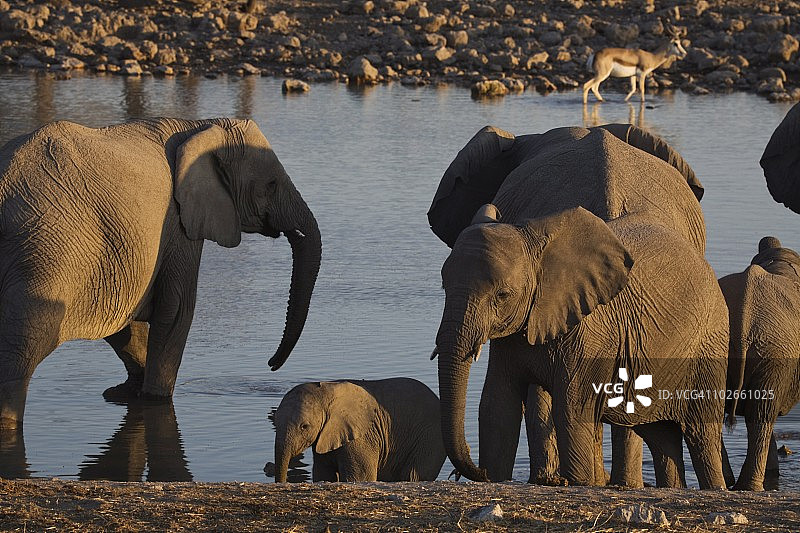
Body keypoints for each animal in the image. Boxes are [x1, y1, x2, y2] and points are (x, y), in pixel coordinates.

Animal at [0, 118, 321, 431]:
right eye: (271, 184)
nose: (270, 365)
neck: (202, 126)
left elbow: (126, 324)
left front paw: (124, 392)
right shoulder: (178, 224)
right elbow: (177, 310)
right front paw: (155, 398)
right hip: (42, 253)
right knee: (21, 352)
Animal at [273, 378, 446, 482]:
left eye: (304, 426)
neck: (325, 392)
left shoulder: (361, 437)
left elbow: (359, 477)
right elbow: (323, 474)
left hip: (431, 438)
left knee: (412, 475)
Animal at [428, 123, 729, 488]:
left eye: (502, 295)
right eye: (444, 285)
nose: (465, 471)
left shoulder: (585, 332)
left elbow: (567, 410)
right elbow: (497, 407)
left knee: (696, 431)